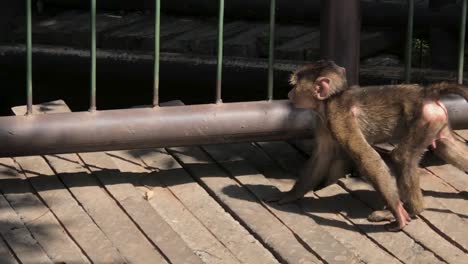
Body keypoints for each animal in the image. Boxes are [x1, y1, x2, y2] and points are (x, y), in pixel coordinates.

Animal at [266, 59, 468, 231]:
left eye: (295, 85)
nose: (290, 94)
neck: (330, 100)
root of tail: (426, 93)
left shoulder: (338, 116)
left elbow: (366, 157)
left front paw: (398, 211)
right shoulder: (322, 121)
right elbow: (322, 156)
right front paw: (291, 195)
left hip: (424, 119)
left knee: (401, 157)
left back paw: (412, 210)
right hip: (436, 121)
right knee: (446, 147)